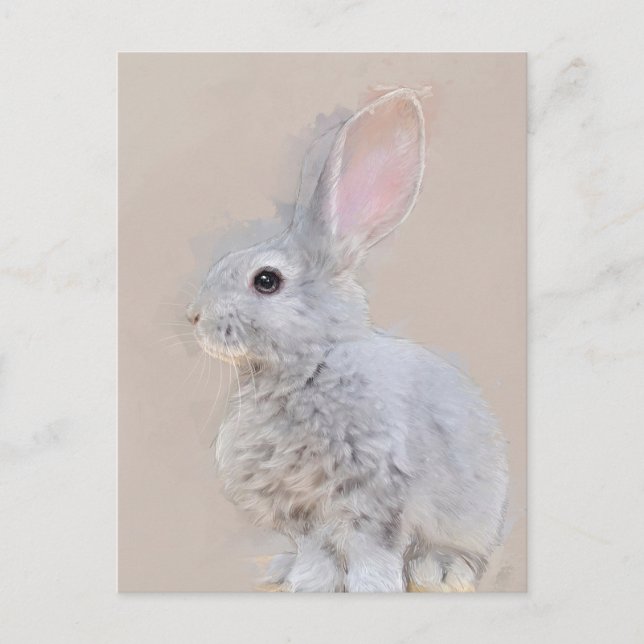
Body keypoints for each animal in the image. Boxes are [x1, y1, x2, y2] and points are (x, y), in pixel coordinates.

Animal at [187, 88, 509, 592]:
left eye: (266, 281)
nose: (194, 317)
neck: (311, 366)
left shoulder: (376, 497)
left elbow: (369, 550)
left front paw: (371, 588)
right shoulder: (301, 511)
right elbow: (317, 551)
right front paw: (308, 584)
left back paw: (439, 570)